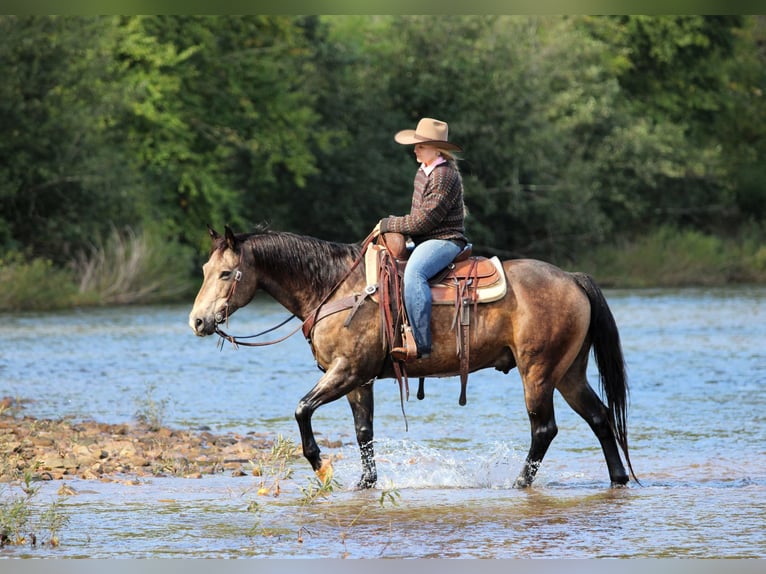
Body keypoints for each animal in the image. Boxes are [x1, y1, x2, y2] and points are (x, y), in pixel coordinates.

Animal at [188, 225, 637, 489]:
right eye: (206, 268)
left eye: (226, 273)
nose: (197, 321)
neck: (335, 287)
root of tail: (572, 279)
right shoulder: (358, 380)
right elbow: (363, 432)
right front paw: (364, 483)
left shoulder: (346, 371)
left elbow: (301, 409)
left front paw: (321, 466)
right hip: (568, 373)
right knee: (599, 418)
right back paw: (617, 479)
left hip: (538, 372)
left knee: (544, 429)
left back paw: (518, 484)